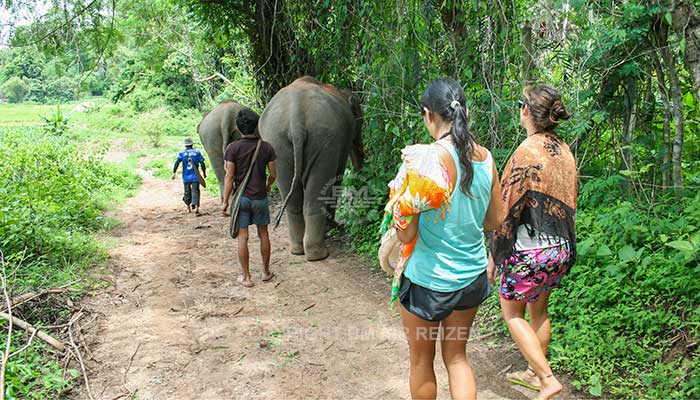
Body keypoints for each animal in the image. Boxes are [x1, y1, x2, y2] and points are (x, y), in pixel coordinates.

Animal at [260, 76, 364, 260]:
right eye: (360, 119)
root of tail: (296, 122)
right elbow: (337, 177)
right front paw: (332, 227)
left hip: (277, 144)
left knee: (292, 197)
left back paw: (298, 250)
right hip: (323, 141)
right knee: (317, 190)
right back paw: (318, 254)